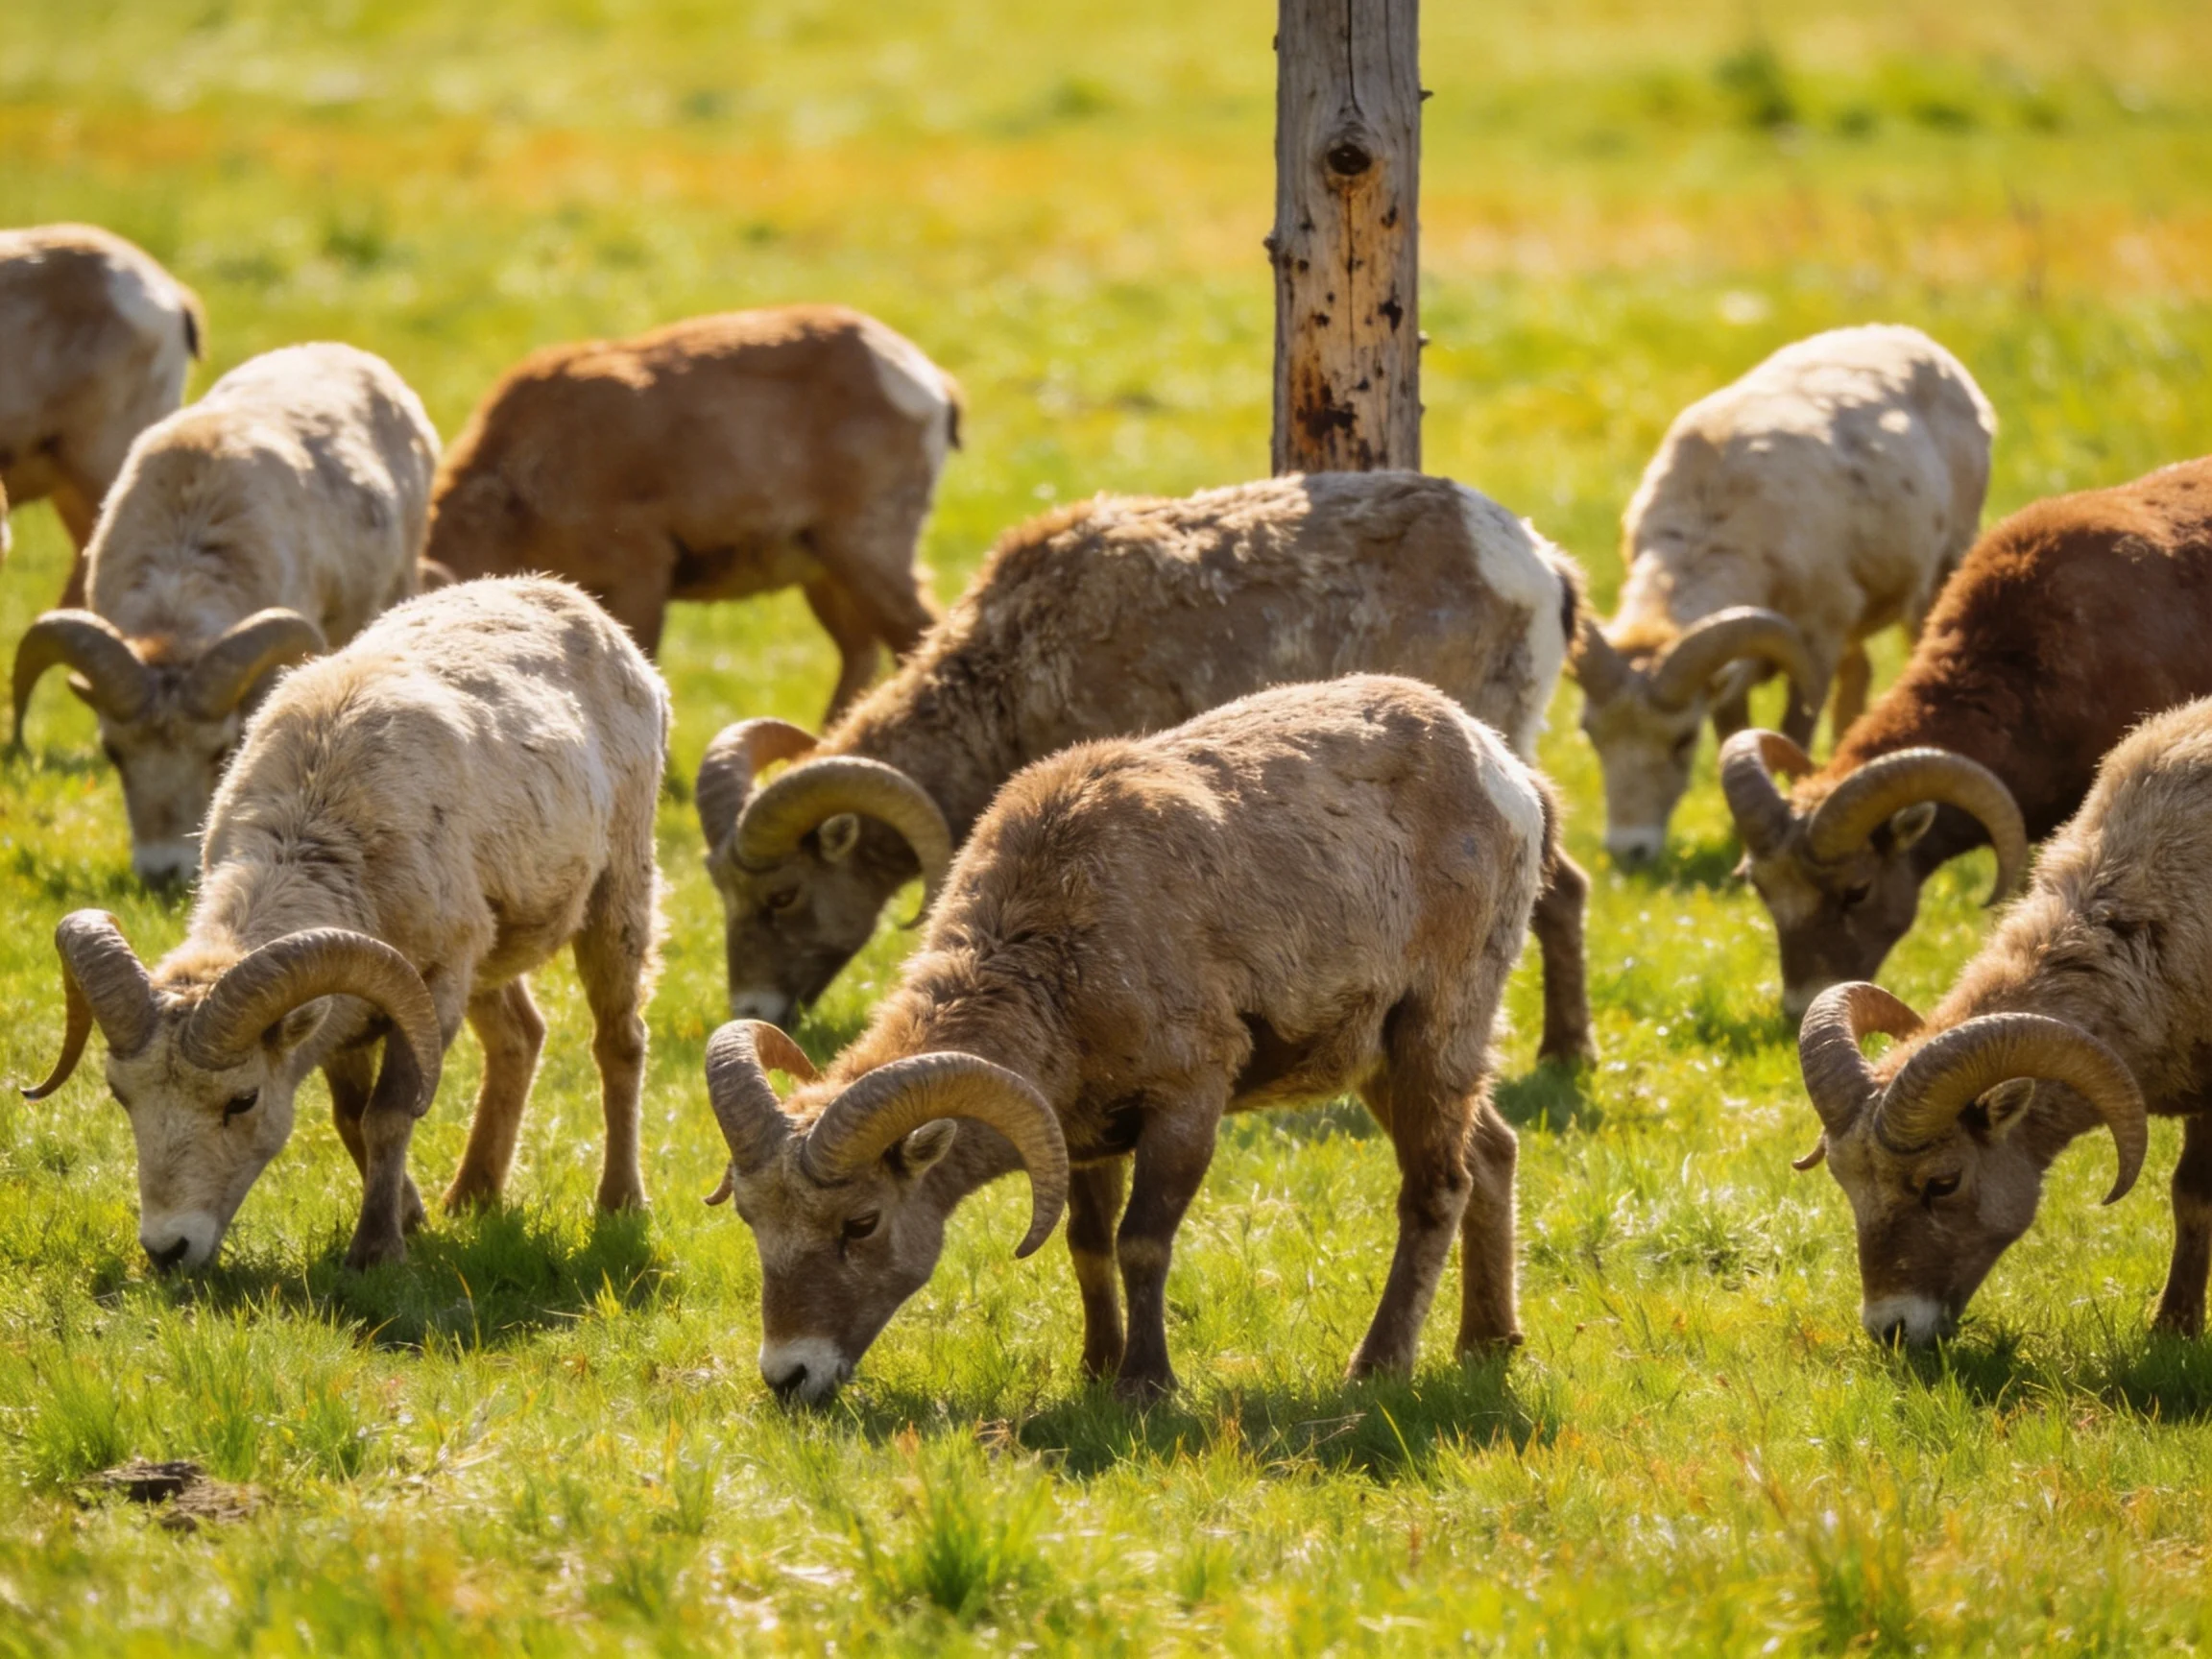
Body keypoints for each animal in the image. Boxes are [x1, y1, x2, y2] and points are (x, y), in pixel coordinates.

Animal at [20, 577, 667, 1273]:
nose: (169, 1249)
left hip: (617, 897)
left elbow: (390, 1114)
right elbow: (352, 1117)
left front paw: (376, 1252)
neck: (321, 815)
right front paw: (411, 1219)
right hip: (490, 957)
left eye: (242, 1100)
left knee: (619, 1043)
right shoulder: (354, 1012)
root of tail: (562, 596)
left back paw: (620, 1203)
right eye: (122, 1095)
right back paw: (471, 1198)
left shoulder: (429, 987)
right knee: (520, 1039)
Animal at [701, 673, 1552, 1403]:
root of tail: (1497, 766)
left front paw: (1146, 1386)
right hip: (1385, 1063)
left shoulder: (1185, 1105)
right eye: (751, 1220)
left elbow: (1143, 1241)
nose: (790, 1377)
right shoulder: (1081, 1134)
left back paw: (1378, 1368)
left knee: (1435, 1189)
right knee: (1493, 1153)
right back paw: (1488, 1343)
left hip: (1433, 1031)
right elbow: (1089, 1244)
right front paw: (1095, 1370)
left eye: (862, 1223)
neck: (1061, 943)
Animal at [1575, 324, 1994, 864]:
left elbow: (1794, 727)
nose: (1630, 850)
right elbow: (1734, 734)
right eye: (1591, 733)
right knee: (1859, 674)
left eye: (1683, 739)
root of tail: (1909, 337)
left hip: (1940, 570)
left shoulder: (1815, 638)